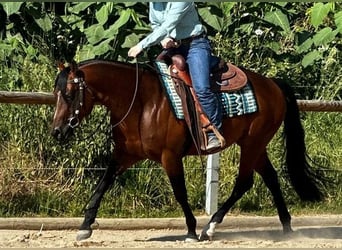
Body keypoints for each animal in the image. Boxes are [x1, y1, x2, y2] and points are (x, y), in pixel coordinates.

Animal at [50, 58, 324, 242]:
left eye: (69, 94)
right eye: (57, 93)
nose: (57, 132)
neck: (141, 102)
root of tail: (272, 84)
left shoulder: (170, 156)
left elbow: (179, 192)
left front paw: (191, 230)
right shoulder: (124, 155)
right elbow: (102, 184)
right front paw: (85, 226)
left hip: (252, 143)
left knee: (244, 183)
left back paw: (210, 227)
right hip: (255, 146)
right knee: (271, 178)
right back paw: (287, 227)